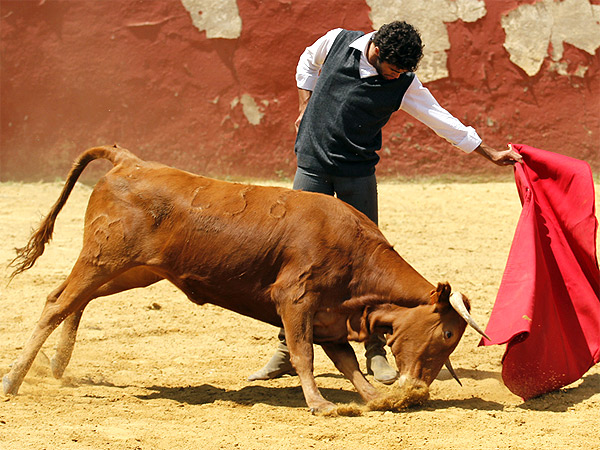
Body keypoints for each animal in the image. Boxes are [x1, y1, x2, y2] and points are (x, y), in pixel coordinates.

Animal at [3, 146, 488, 414]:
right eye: (447, 333)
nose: (420, 392)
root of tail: (130, 162)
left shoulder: (331, 316)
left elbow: (347, 364)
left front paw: (374, 398)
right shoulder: (295, 299)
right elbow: (303, 354)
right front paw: (322, 406)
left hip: (135, 270)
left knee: (71, 300)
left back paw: (58, 365)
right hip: (104, 259)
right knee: (57, 303)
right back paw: (13, 382)